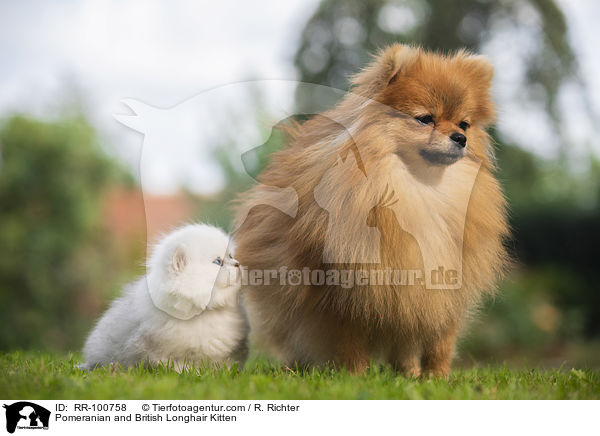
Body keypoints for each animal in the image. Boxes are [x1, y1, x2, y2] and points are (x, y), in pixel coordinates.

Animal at [81, 225, 247, 372]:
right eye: (217, 262)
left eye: (231, 256)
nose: (238, 264)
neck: (204, 313)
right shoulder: (159, 351)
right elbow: (177, 366)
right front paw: (191, 373)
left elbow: (224, 363)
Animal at [234, 45, 510, 378]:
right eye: (425, 119)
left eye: (464, 124)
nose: (460, 138)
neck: (420, 190)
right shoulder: (343, 293)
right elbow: (351, 341)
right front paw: (356, 377)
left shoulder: (441, 288)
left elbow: (440, 342)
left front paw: (436, 378)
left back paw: (409, 373)